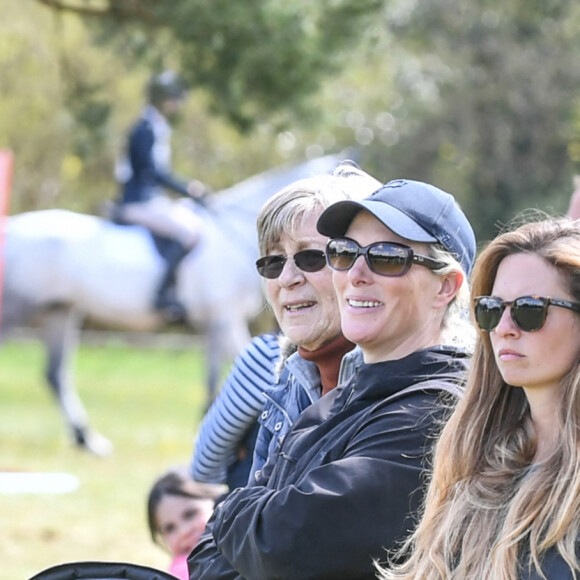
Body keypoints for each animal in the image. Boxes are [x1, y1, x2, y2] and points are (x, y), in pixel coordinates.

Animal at [0, 156, 342, 456]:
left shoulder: (214, 324)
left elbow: (212, 377)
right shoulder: (226, 319)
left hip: (61, 311)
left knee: (55, 375)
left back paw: (88, 439)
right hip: (18, 307)